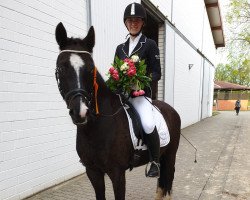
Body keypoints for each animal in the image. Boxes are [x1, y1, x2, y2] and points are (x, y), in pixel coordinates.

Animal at [54, 22, 181, 200]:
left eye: (91, 69)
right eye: (61, 68)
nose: (81, 111)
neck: (95, 128)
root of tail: (171, 110)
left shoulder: (117, 173)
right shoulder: (93, 172)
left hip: (170, 156)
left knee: (167, 183)